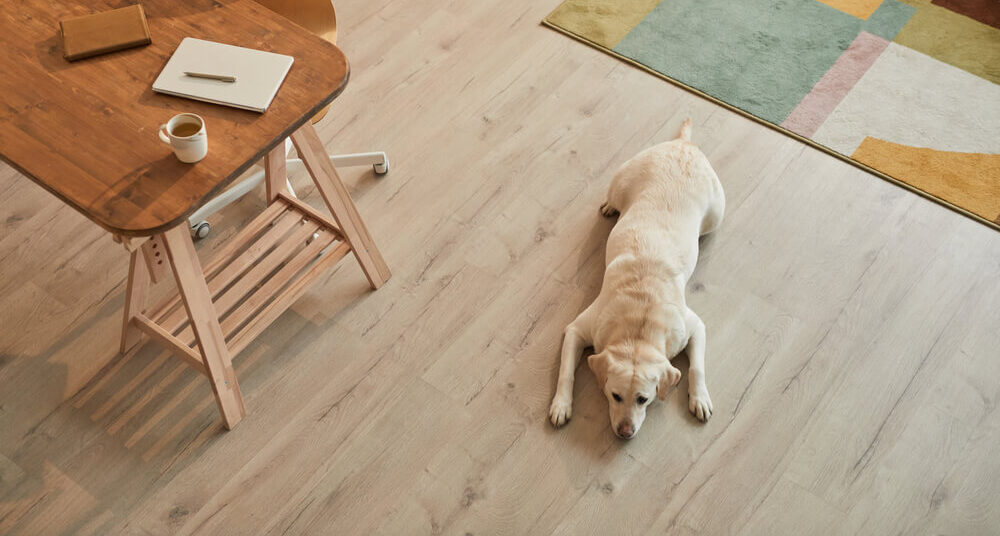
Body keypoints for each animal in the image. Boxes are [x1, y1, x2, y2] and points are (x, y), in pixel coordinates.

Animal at [552, 120, 724, 440]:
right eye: (615, 395)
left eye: (644, 399)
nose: (625, 432)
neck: (638, 326)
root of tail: (684, 144)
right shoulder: (577, 330)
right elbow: (566, 372)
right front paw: (560, 405)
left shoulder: (694, 326)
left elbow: (697, 368)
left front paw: (700, 399)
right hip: (621, 181)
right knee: (613, 197)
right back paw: (609, 206)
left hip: (716, 214)